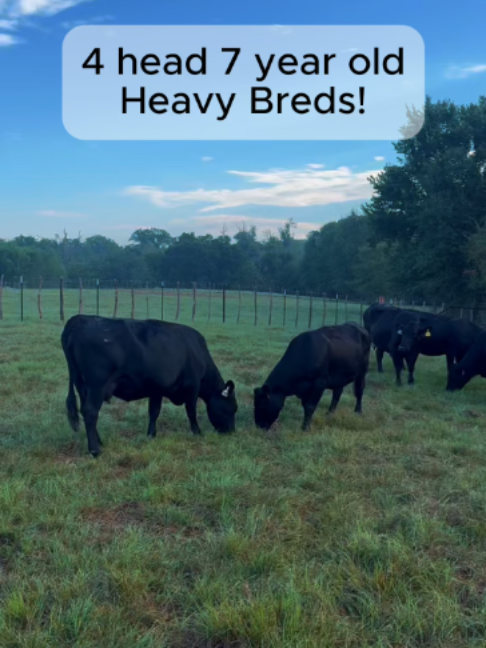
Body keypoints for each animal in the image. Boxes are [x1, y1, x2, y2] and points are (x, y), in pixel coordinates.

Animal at [61, 315, 237, 457]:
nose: (231, 432)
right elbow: (191, 412)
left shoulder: (156, 389)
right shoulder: (193, 386)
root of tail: (79, 319)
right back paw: (95, 449)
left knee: (86, 411)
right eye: (233, 408)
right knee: (90, 412)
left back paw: (99, 441)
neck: (198, 353)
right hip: (97, 385)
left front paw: (151, 435)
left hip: (82, 385)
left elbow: (154, 412)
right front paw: (198, 432)